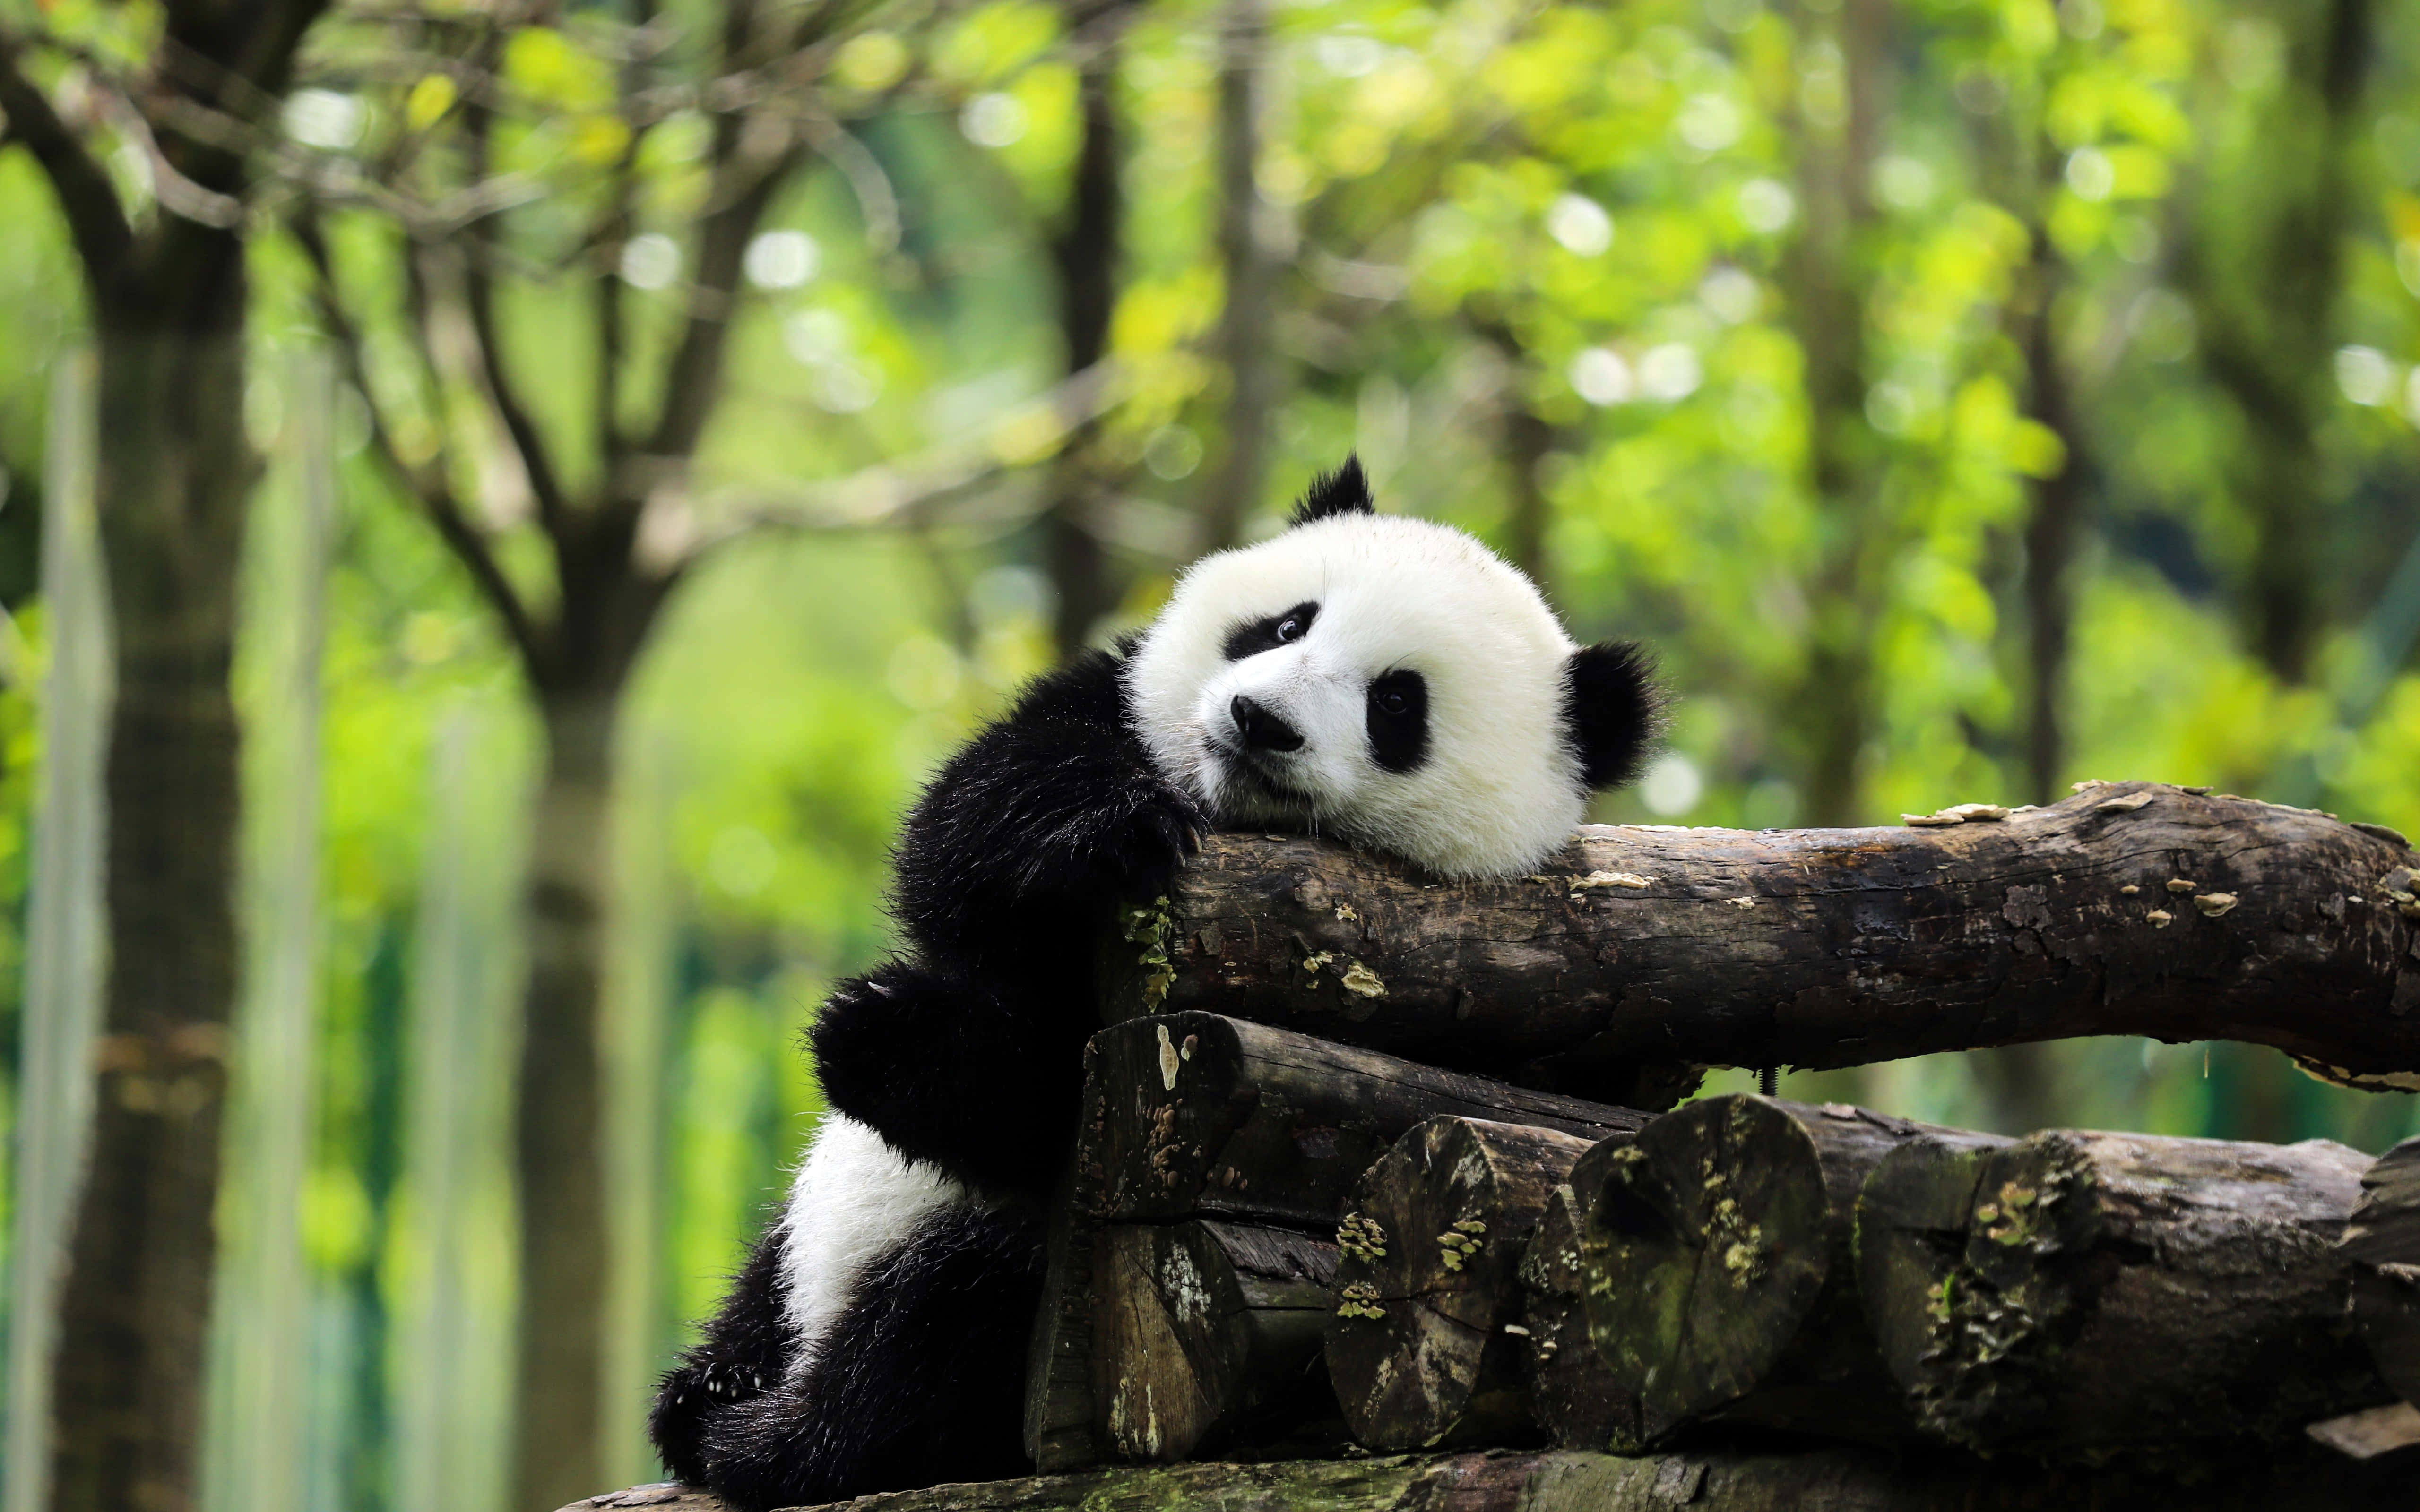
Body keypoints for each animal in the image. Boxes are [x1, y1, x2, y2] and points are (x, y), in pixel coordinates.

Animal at [648, 458, 1660, 1508]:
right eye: (1284, 626)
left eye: (1395, 704)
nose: (1260, 721)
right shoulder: (1116, 713)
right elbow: (970, 837)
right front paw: (1096, 831)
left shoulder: (1491, 1006)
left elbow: (1049, 1095)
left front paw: (901, 1045)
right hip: (800, 1242)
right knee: (775, 1280)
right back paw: (705, 1390)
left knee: (941, 1324)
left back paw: (774, 1438)